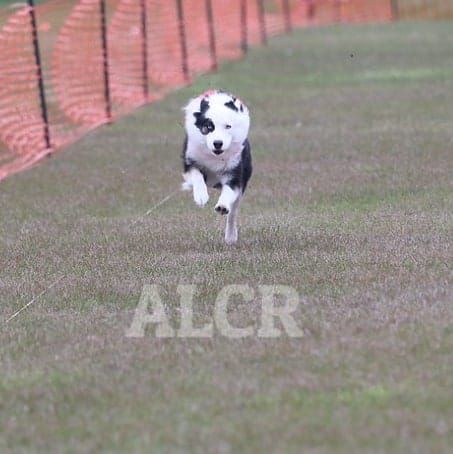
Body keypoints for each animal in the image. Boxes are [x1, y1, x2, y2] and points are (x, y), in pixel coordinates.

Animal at [180, 89, 251, 245]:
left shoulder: (234, 173)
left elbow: (229, 191)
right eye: (208, 127)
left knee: (233, 213)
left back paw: (230, 236)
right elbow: (197, 175)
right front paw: (201, 196)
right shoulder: (190, 161)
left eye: (228, 126)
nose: (218, 143)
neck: (215, 157)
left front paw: (222, 206)